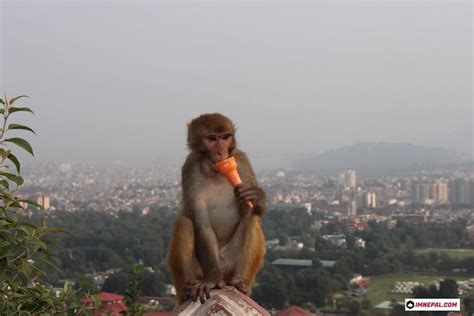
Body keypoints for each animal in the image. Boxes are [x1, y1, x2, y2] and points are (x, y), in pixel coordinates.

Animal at [166, 113, 266, 304]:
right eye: (212, 139)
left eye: (225, 137)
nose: (221, 152)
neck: (216, 171)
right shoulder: (190, 168)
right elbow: (202, 225)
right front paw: (212, 280)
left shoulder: (240, 160)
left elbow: (252, 210)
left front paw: (253, 195)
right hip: (201, 270)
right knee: (184, 223)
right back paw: (188, 290)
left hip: (230, 263)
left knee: (252, 218)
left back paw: (240, 283)